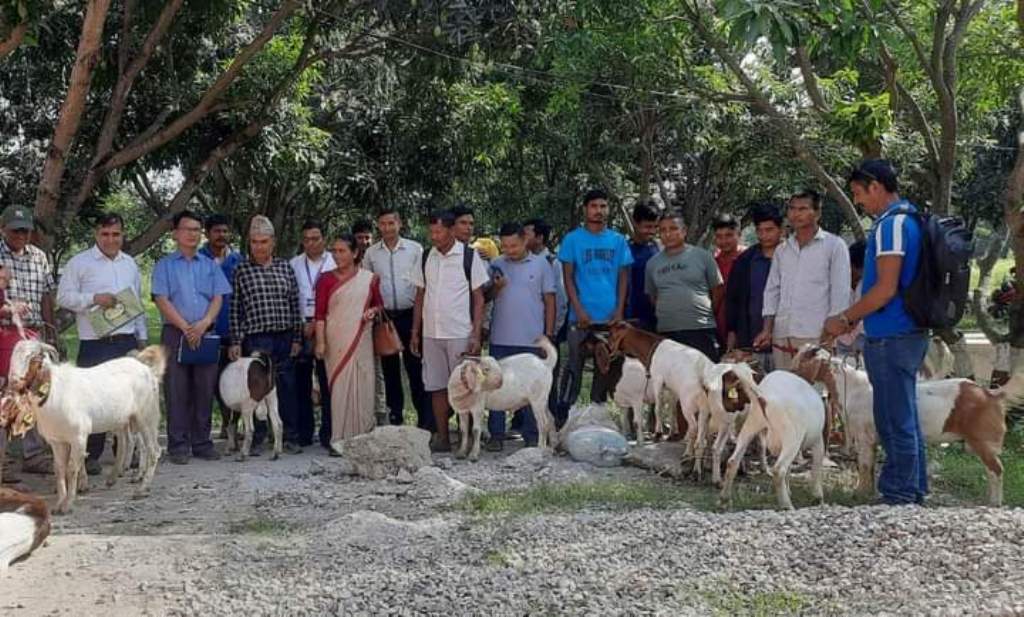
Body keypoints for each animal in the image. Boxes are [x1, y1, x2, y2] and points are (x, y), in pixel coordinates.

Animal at [3, 343, 165, 515]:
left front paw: (68, 505)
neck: (53, 391)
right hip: (124, 418)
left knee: (153, 450)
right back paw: (113, 478)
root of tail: (147, 369)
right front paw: (59, 504)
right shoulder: (57, 441)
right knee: (125, 442)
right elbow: (59, 470)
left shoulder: (78, 436)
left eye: (31, 357)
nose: (13, 382)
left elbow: (72, 468)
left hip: (146, 415)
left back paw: (142, 489)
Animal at [716, 366, 827, 511]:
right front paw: (818, 497)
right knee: (779, 469)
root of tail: (764, 396)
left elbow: (790, 469)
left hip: (752, 424)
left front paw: (789, 490)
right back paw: (787, 505)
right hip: (792, 437)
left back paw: (724, 499)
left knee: (733, 461)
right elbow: (816, 467)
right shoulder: (818, 439)